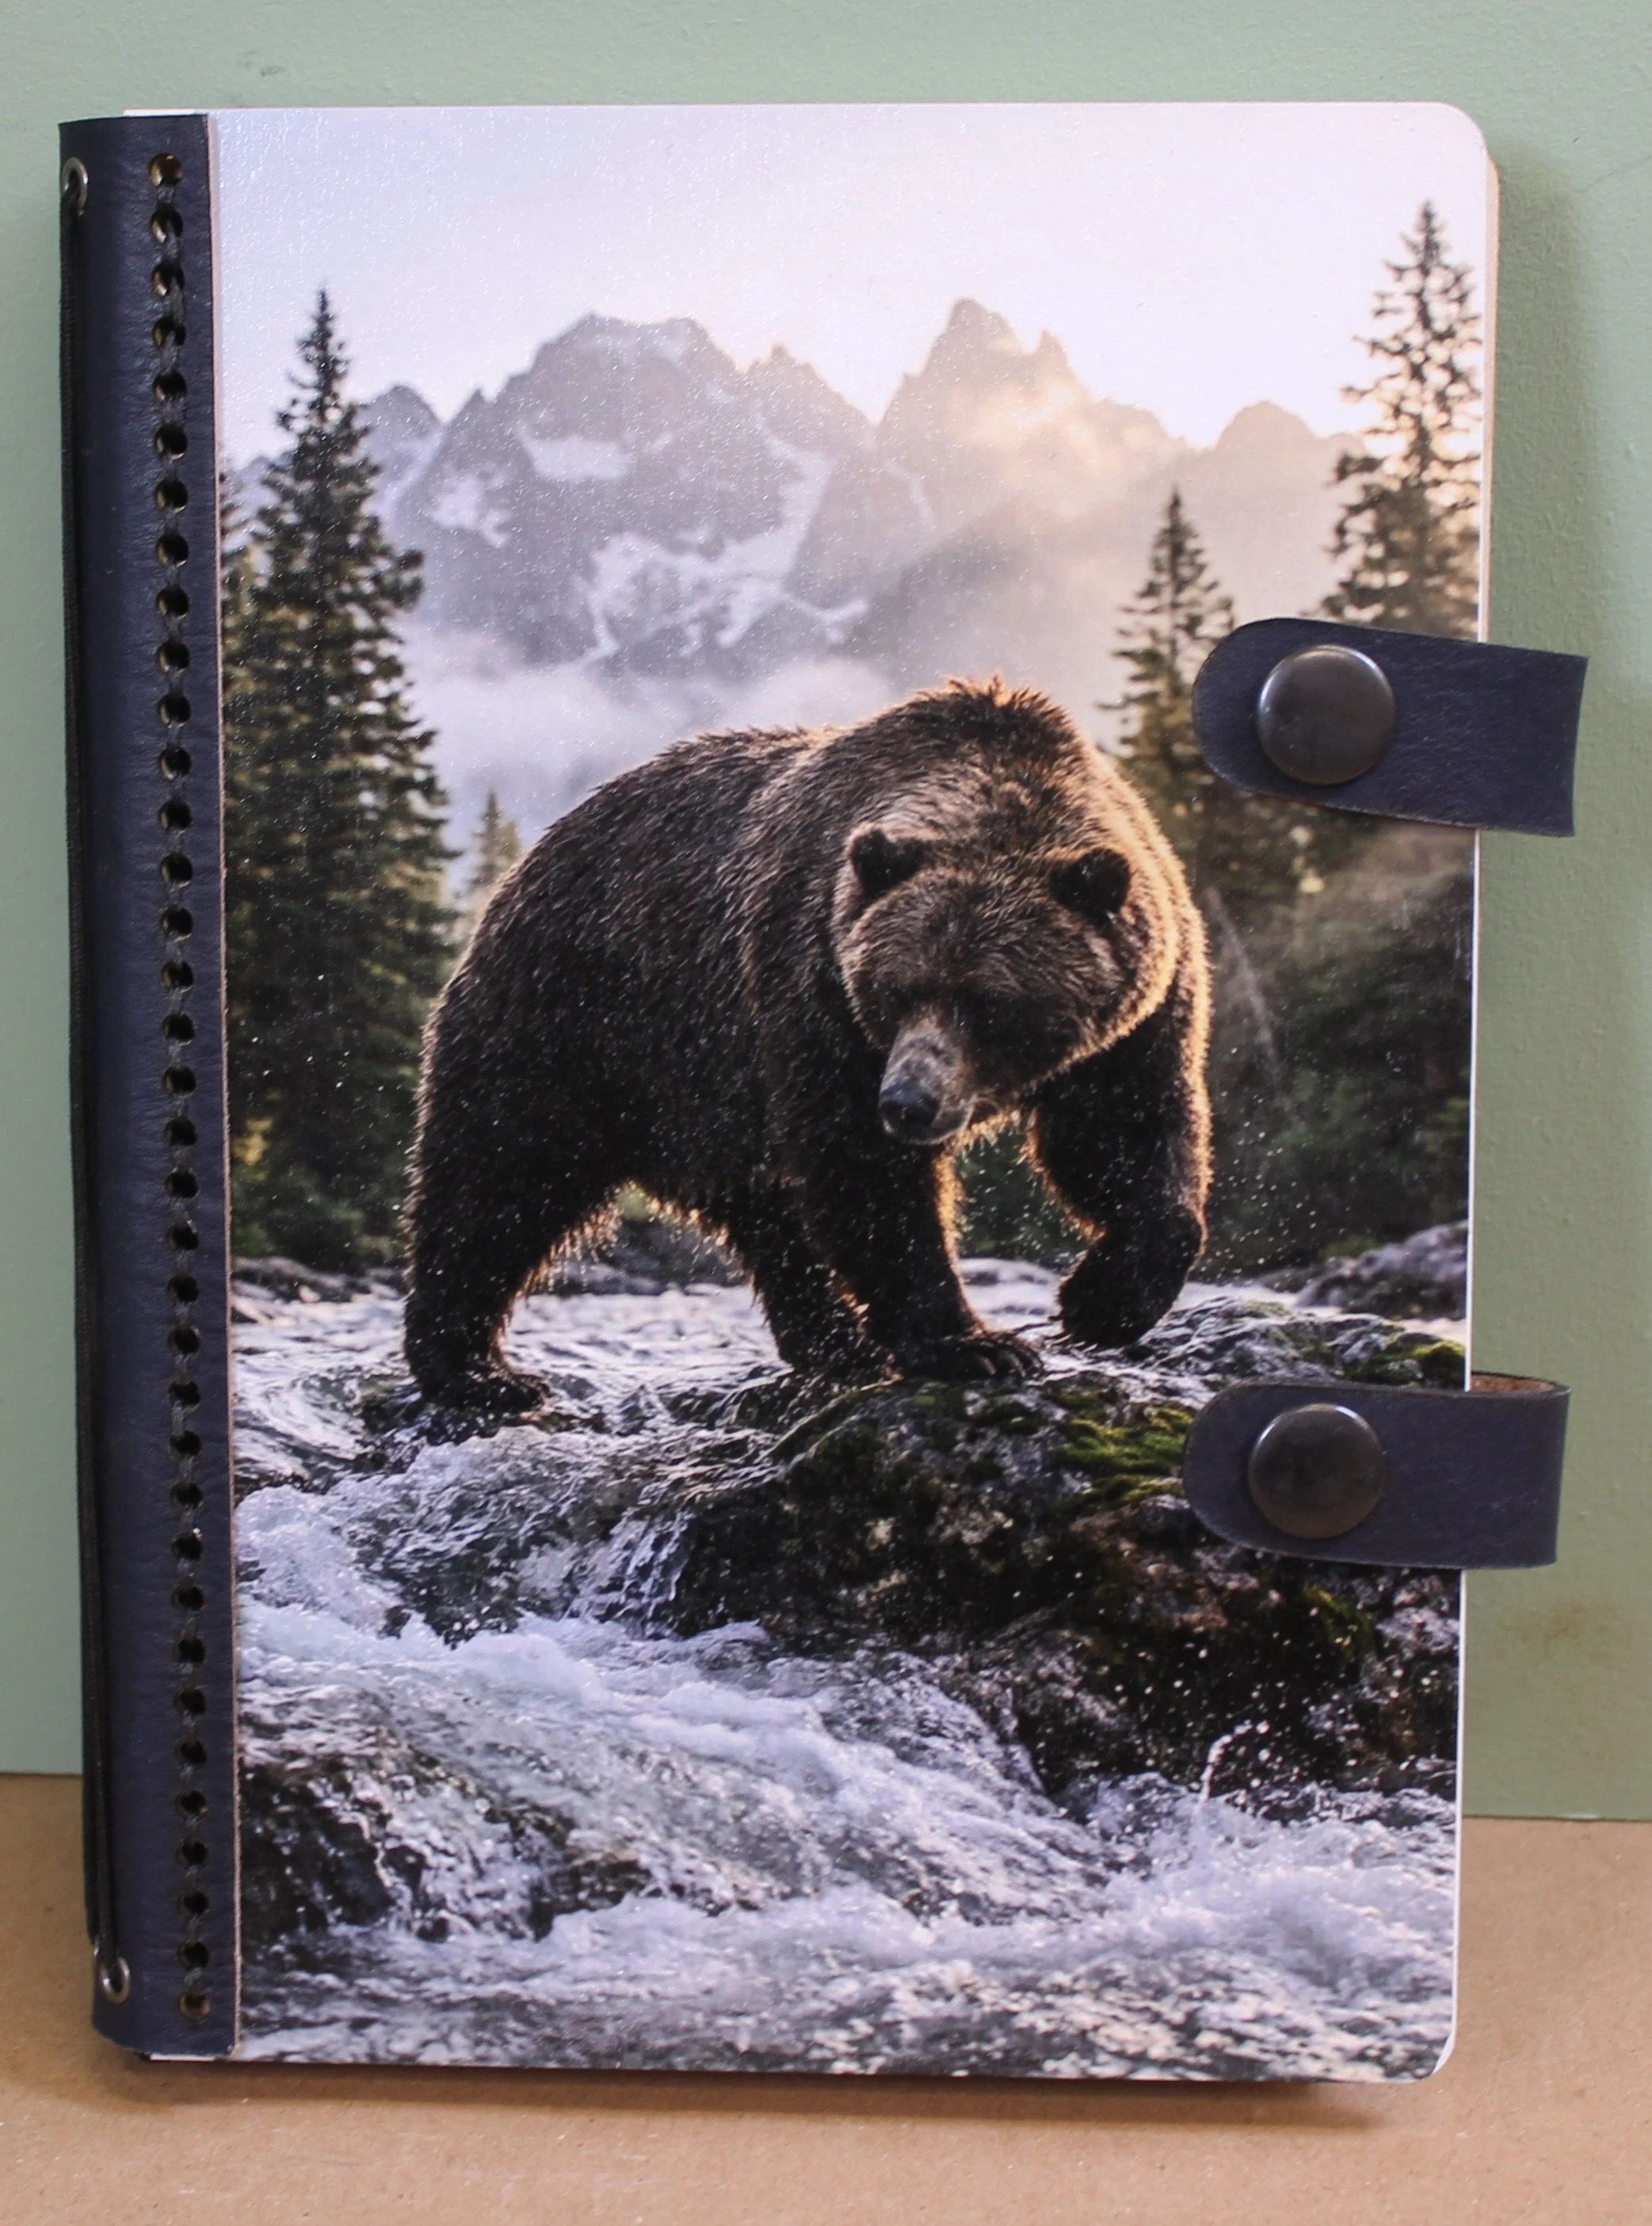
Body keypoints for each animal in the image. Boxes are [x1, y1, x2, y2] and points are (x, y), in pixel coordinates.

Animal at [404, 679, 1211, 1411]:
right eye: (895, 988)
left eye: (986, 1002)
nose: (908, 1102)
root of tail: (528, 864)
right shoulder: (815, 990)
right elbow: (866, 1173)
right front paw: (974, 1343)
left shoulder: (1132, 1022)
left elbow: (1122, 1139)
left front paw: (1102, 1298)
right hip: (582, 1021)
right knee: (501, 1177)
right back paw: (476, 1370)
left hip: (708, 1092)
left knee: (771, 1218)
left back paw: (835, 1342)